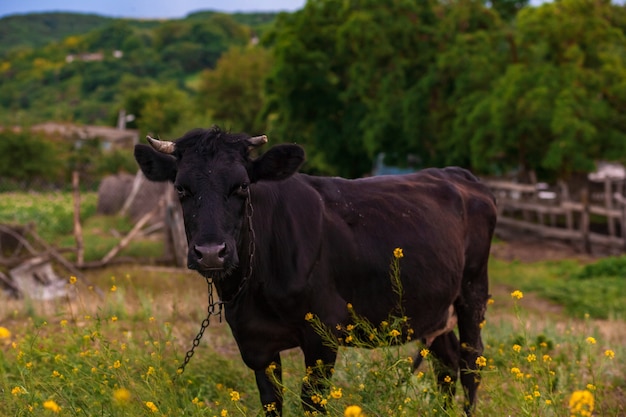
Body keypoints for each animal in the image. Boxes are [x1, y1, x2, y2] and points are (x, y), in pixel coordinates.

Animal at [134, 127, 494, 416]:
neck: (253, 289)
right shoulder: (254, 341)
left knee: (470, 360)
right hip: (434, 306)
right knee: (444, 361)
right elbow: (272, 403)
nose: (211, 252)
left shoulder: (323, 334)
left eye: (242, 186)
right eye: (181, 189)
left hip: (473, 290)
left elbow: (312, 404)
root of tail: (459, 175)